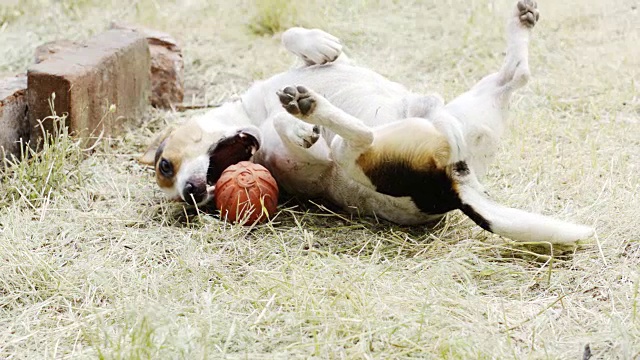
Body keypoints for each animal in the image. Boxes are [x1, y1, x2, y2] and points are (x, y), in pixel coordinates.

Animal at [140, 0, 596, 245]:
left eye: (165, 165)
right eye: (170, 181)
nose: (191, 194)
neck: (253, 114)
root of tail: (452, 187)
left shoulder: (315, 67)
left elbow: (294, 36)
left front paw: (317, 45)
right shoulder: (308, 161)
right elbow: (293, 135)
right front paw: (297, 125)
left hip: (469, 112)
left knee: (515, 75)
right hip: (361, 152)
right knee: (362, 135)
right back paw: (308, 107)